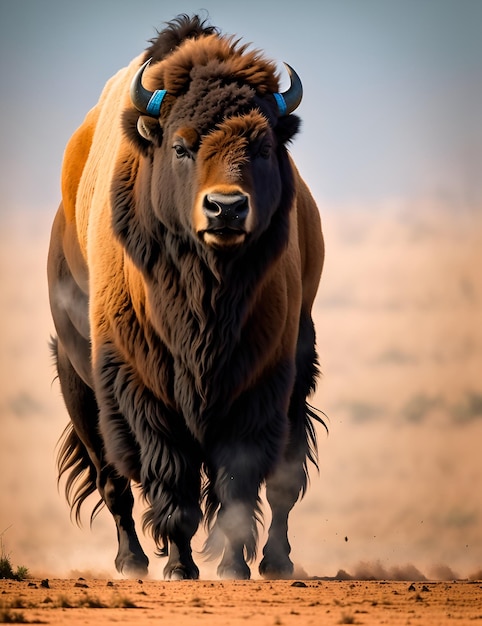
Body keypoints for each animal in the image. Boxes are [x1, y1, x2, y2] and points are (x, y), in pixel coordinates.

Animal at [48, 13, 324, 580]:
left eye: (263, 147)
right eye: (182, 146)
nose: (226, 208)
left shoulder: (262, 377)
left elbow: (240, 480)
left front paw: (233, 566)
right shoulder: (141, 383)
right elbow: (170, 479)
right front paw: (179, 566)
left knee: (283, 483)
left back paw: (277, 562)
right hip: (77, 380)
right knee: (113, 483)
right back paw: (131, 561)